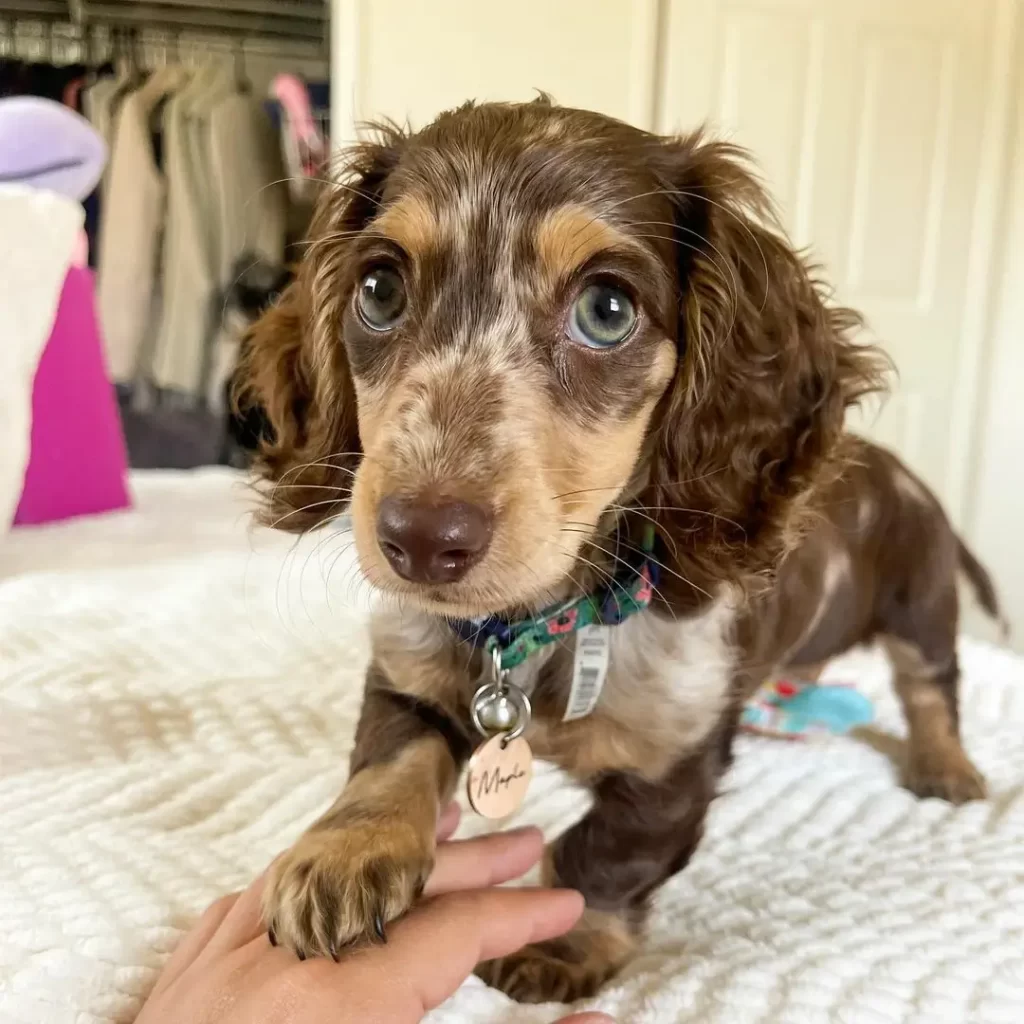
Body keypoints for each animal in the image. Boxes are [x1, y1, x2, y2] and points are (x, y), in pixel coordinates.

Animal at [235, 97, 995, 999]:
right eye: (379, 289)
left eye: (607, 310)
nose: (418, 541)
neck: (549, 621)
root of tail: (906, 478)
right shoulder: (409, 671)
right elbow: (389, 761)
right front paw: (343, 855)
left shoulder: (677, 759)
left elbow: (602, 855)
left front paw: (565, 943)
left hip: (922, 608)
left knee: (931, 688)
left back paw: (945, 764)